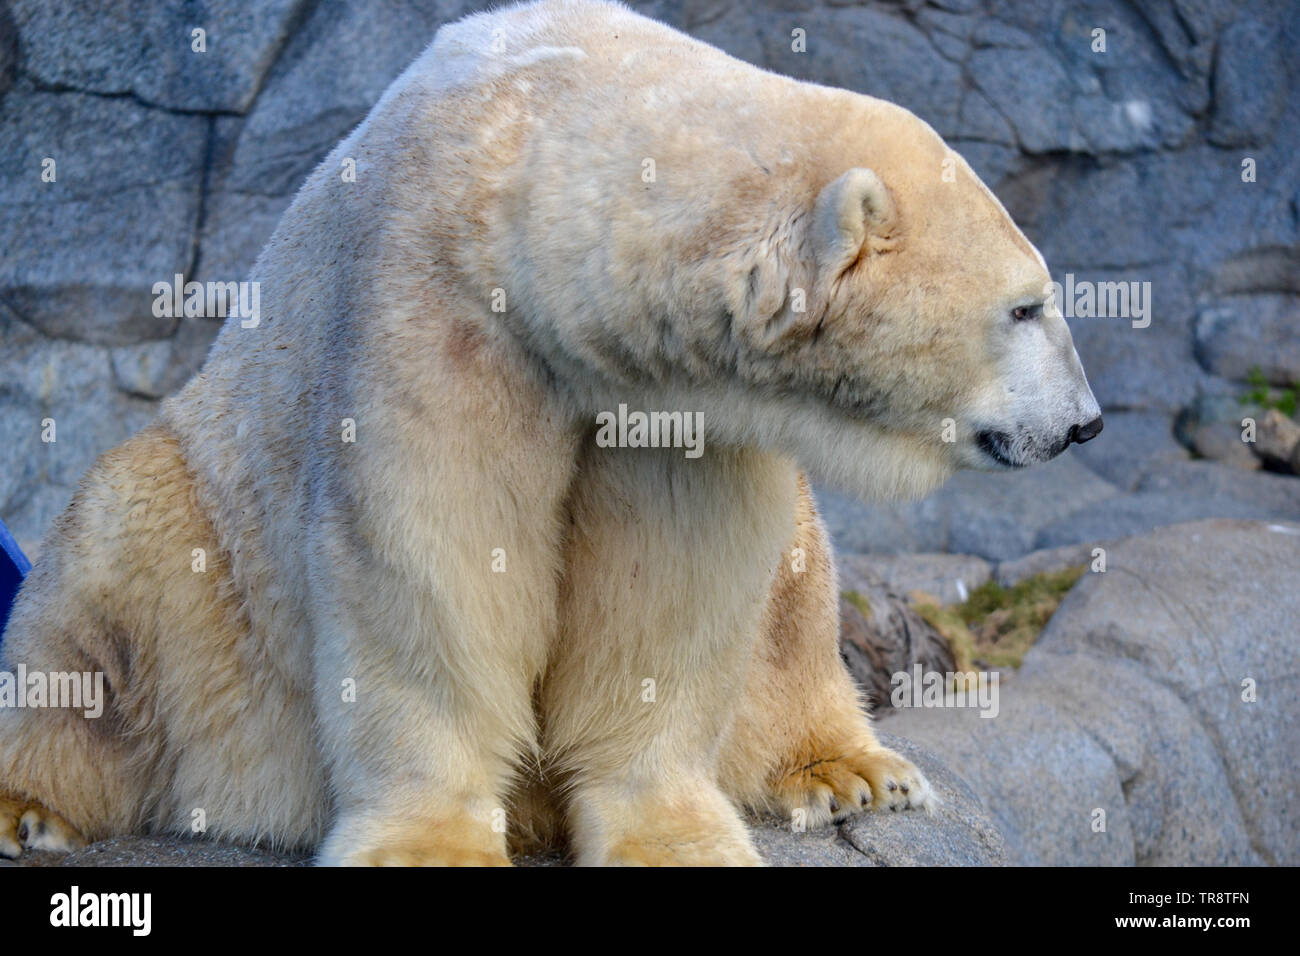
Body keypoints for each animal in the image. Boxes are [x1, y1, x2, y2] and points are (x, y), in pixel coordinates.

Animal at [0, 0, 1102, 868]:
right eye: (1026, 306)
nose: (1086, 422)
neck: (525, 160)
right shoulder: (434, 299)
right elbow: (430, 546)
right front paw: (430, 841)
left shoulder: (673, 407)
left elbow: (671, 583)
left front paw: (672, 834)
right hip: (204, 564)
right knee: (102, 602)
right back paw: (33, 806)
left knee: (795, 587)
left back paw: (851, 770)